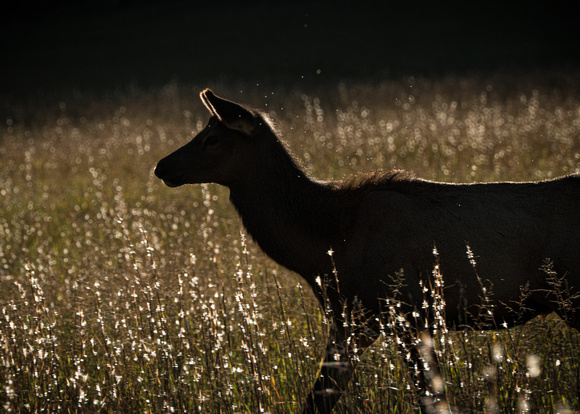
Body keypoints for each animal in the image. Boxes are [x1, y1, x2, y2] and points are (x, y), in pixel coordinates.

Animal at [154, 89, 580, 412]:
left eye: (211, 138)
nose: (161, 166)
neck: (324, 246)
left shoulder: (402, 311)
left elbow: (429, 399)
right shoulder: (353, 320)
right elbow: (319, 399)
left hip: (572, 294)